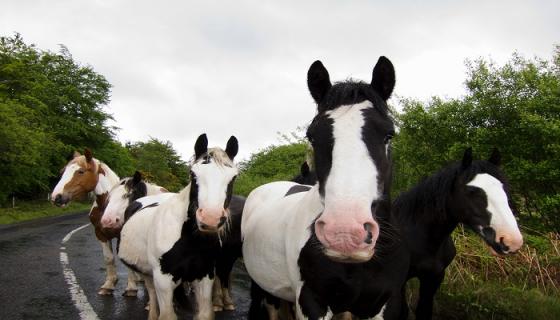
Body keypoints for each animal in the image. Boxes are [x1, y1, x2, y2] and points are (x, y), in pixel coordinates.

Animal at [51, 149, 140, 296]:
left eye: (81, 171)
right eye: (62, 171)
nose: (56, 197)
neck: (108, 205)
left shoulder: (123, 235)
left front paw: (131, 288)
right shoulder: (100, 234)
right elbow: (108, 259)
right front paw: (108, 285)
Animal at [117, 134, 240, 320]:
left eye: (233, 177)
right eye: (193, 174)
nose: (210, 218)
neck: (188, 240)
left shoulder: (205, 277)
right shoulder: (163, 281)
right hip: (149, 274)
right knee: (152, 295)